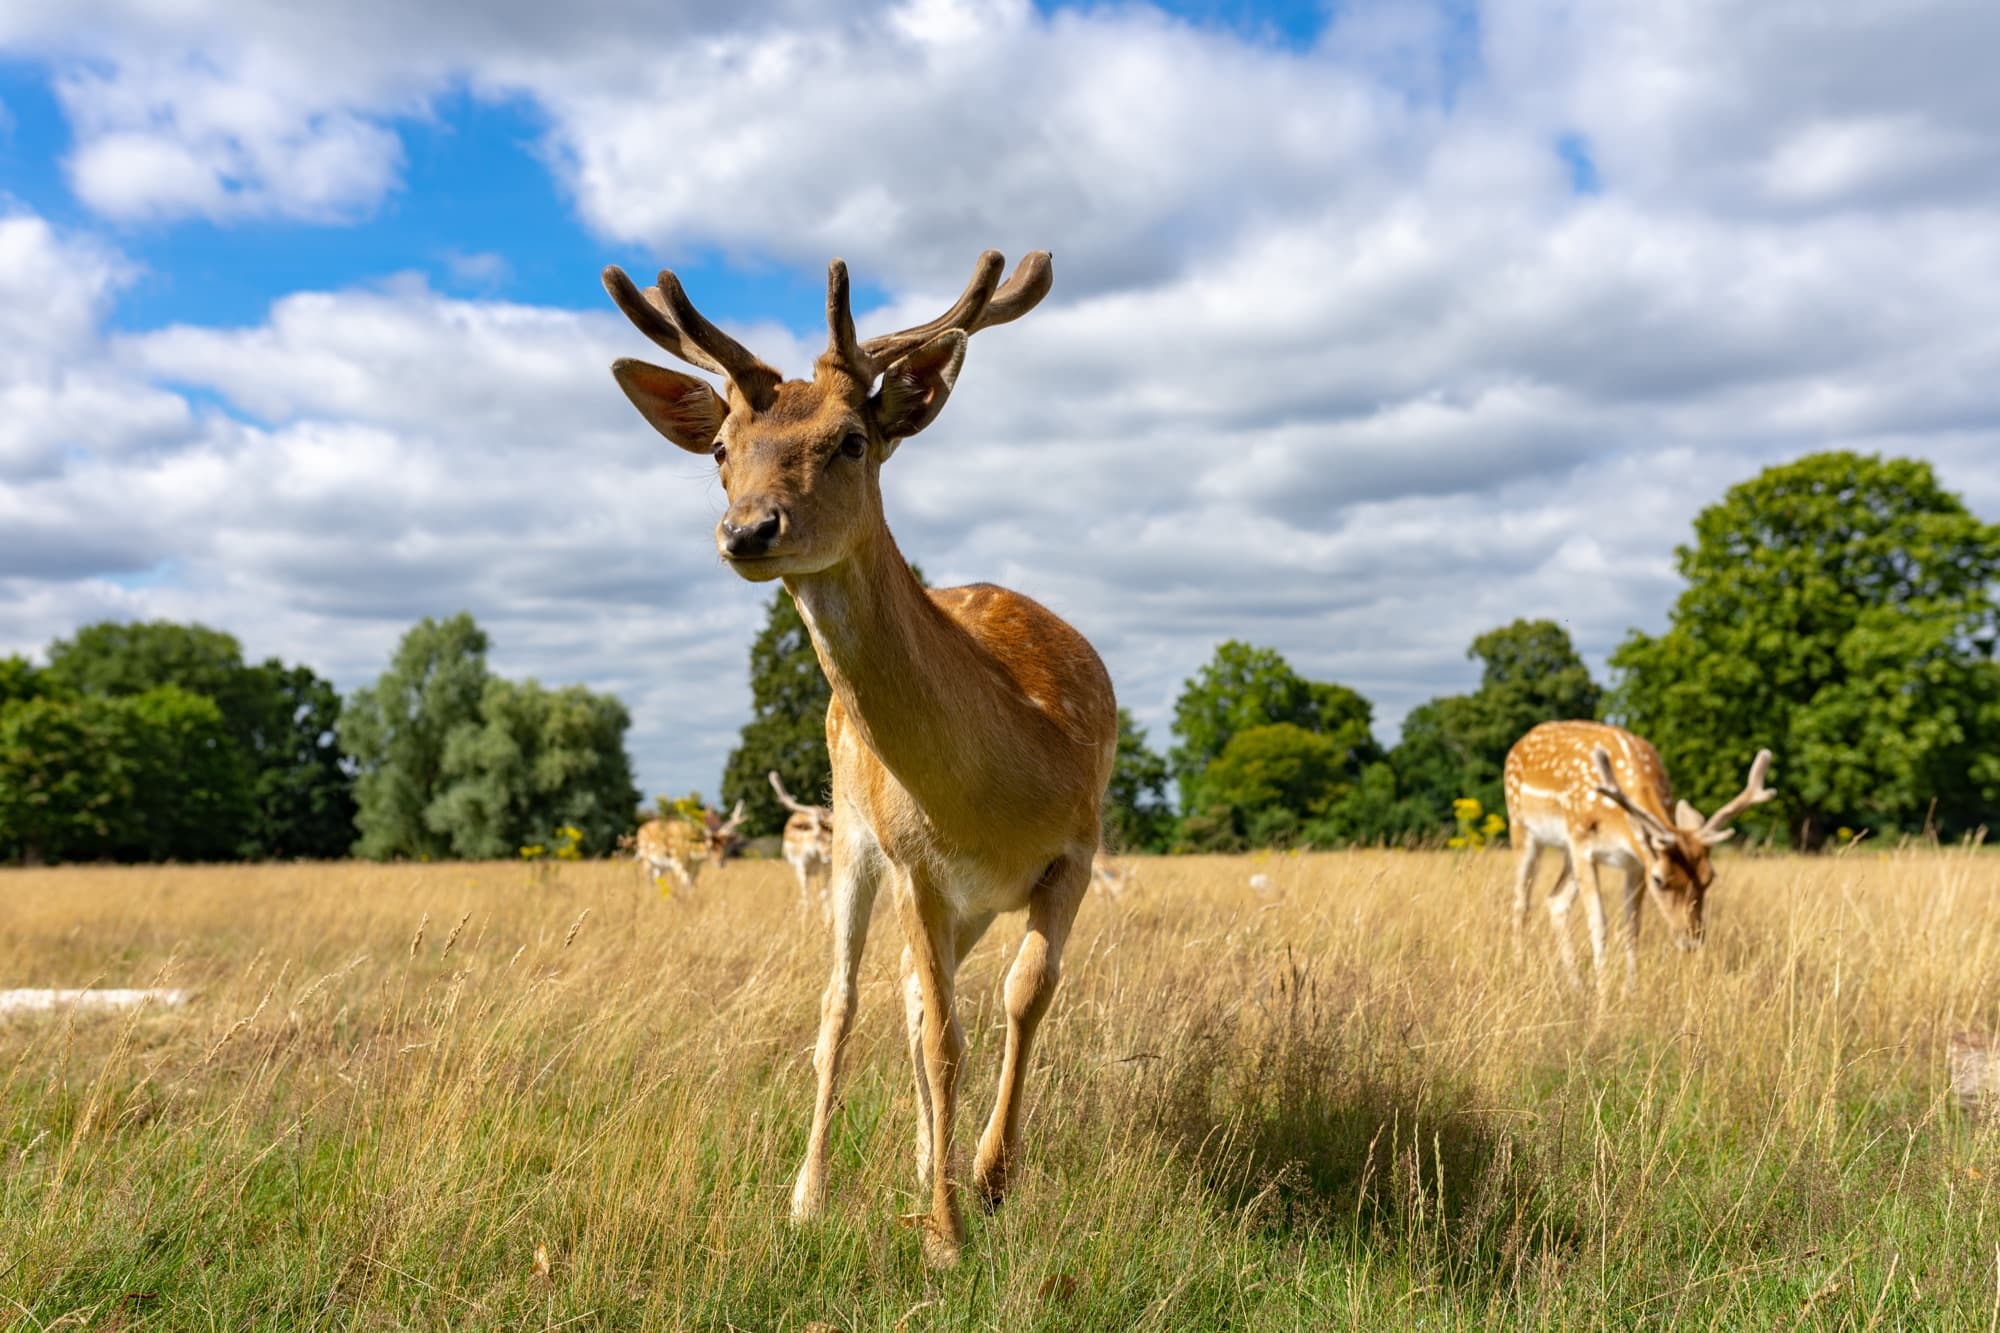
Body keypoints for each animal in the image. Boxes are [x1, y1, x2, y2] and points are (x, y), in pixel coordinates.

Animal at [769, 770, 835, 920]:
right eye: (817, 836)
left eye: (834, 838)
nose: (828, 857)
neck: (815, 858)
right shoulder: (801, 866)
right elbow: (806, 897)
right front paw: (804, 919)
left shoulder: (827, 869)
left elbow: (825, 896)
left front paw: (827, 920)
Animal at [1503, 720, 1775, 991]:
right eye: (1659, 880)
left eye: (1710, 877)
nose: (1691, 940)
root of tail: (1521, 741)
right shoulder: (1581, 842)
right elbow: (1599, 921)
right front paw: (1603, 994)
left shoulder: (1636, 862)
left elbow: (1632, 926)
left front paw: (1629, 991)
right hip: (1522, 826)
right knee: (1521, 902)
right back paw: (1519, 969)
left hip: (1567, 854)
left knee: (1556, 900)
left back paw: (1576, 984)